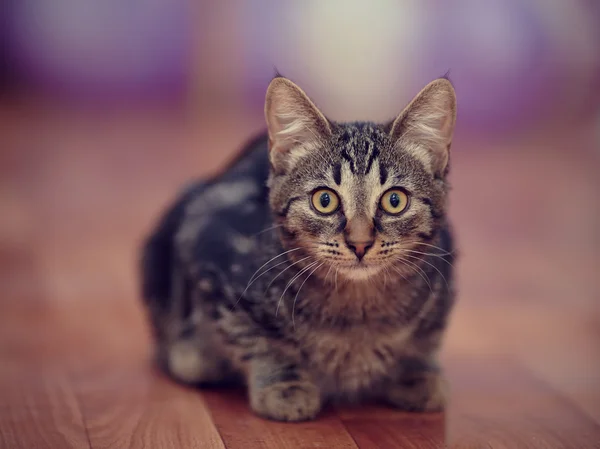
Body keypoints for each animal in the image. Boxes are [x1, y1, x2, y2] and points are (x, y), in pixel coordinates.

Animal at [142, 74, 460, 420]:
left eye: (394, 200)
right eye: (324, 200)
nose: (360, 243)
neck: (356, 312)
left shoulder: (444, 279)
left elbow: (426, 337)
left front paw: (417, 372)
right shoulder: (210, 252)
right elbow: (256, 338)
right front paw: (284, 383)